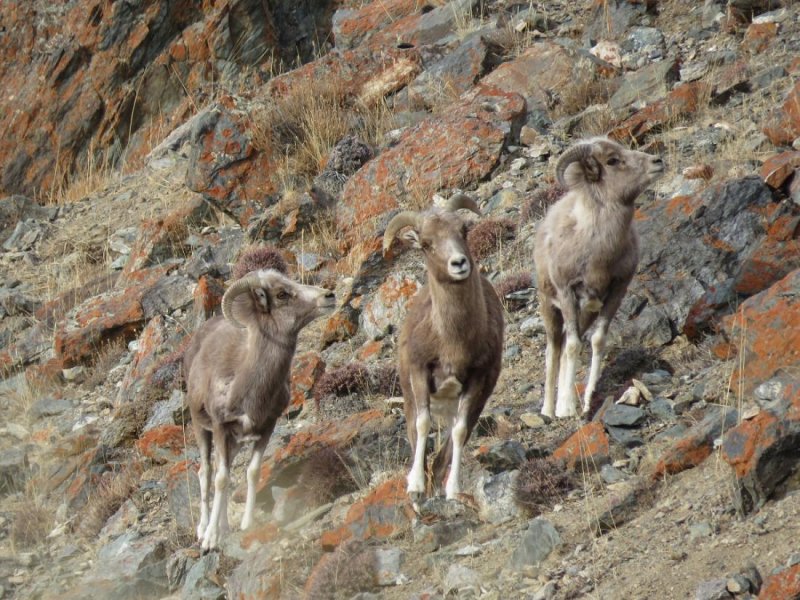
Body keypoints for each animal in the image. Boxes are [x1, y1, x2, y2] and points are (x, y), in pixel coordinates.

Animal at [184, 270, 334, 552]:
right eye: (282, 294)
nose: (329, 296)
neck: (246, 384)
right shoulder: (220, 428)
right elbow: (220, 479)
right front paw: (210, 540)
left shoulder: (265, 427)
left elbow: (251, 473)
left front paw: (246, 524)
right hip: (203, 430)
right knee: (206, 473)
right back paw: (203, 530)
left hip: (234, 443)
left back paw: (224, 527)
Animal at [382, 195, 506, 504]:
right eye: (426, 243)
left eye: (463, 231)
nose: (459, 263)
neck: (452, 341)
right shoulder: (419, 373)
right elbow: (422, 425)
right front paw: (415, 486)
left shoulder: (476, 381)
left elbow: (460, 433)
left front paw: (453, 490)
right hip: (410, 394)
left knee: (447, 446)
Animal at [536, 137, 664, 420]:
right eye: (612, 160)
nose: (657, 162)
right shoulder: (567, 293)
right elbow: (572, 346)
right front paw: (567, 410)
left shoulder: (616, 291)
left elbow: (596, 341)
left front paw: (584, 404)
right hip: (550, 307)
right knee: (554, 350)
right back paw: (549, 410)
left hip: (586, 313)